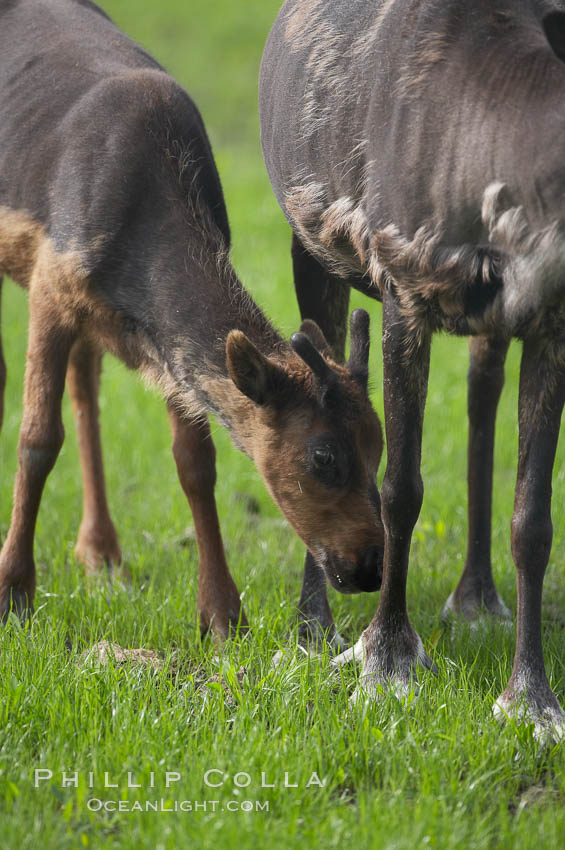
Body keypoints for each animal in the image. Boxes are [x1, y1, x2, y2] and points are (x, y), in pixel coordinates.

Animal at [0, 0, 384, 636]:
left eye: (378, 445)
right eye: (323, 457)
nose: (370, 567)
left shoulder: (153, 342)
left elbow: (196, 461)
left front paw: (223, 614)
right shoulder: (50, 281)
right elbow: (36, 439)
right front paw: (13, 593)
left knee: (86, 384)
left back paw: (102, 552)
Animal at [262, 0, 565, 736]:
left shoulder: (549, 322)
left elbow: (534, 518)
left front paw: (530, 697)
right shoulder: (404, 287)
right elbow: (400, 488)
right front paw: (386, 658)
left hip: (491, 325)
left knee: (483, 394)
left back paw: (477, 595)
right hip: (311, 246)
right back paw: (313, 628)